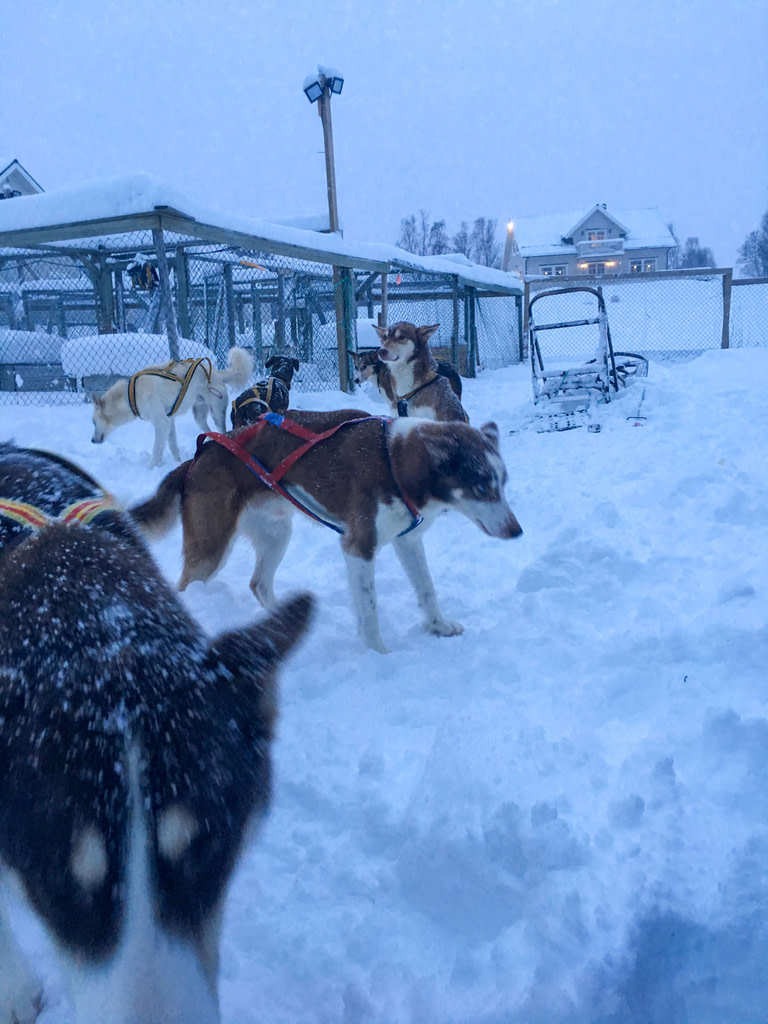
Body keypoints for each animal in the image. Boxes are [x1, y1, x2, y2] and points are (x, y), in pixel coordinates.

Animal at [90, 348, 252, 468]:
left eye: (93, 422)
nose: (92, 440)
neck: (131, 396)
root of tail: (216, 373)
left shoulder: (161, 423)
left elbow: (157, 450)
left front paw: (151, 468)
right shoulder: (169, 421)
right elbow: (173, 445)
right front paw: (178, 462)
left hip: (216, 413)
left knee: (222, 430)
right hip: (199, 416)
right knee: (210, 432)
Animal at [132, 405, 524, 647]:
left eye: (503, 483)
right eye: (482, 486)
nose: (517, 531)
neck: (396, 459)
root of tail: (196, 459)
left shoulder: (407, 541)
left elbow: (427, 590)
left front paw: (438, 626)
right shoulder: (359, 547)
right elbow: (370, 612)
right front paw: (380, 655)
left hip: (276, 534)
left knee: (259, 584)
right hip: (210, 550)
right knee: (186, 586)